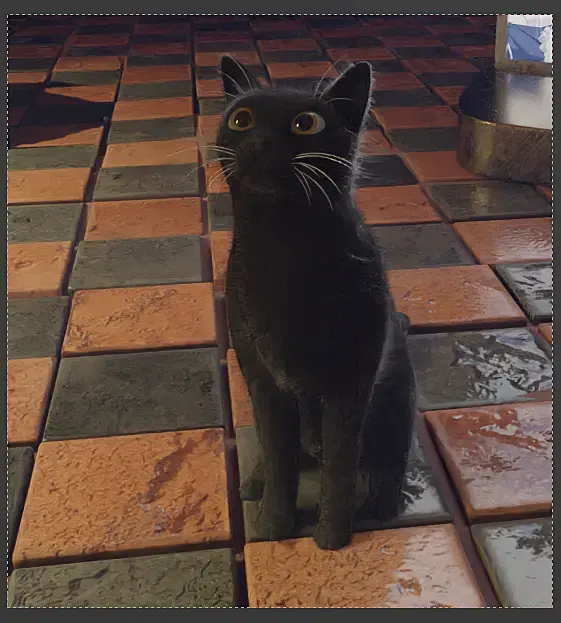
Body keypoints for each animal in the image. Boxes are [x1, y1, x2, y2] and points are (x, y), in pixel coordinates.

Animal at [215, 55, 416, 550]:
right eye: (241, 118)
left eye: (306, 124)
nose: (260, 141)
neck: (285, 246)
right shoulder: (262, 379)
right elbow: (278, 456)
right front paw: (273, 525)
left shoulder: (351, 383)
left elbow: (341, 467)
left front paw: (331, 538)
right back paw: (255, 480)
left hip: (396, 393)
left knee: (386, 457)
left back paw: (384, 502)